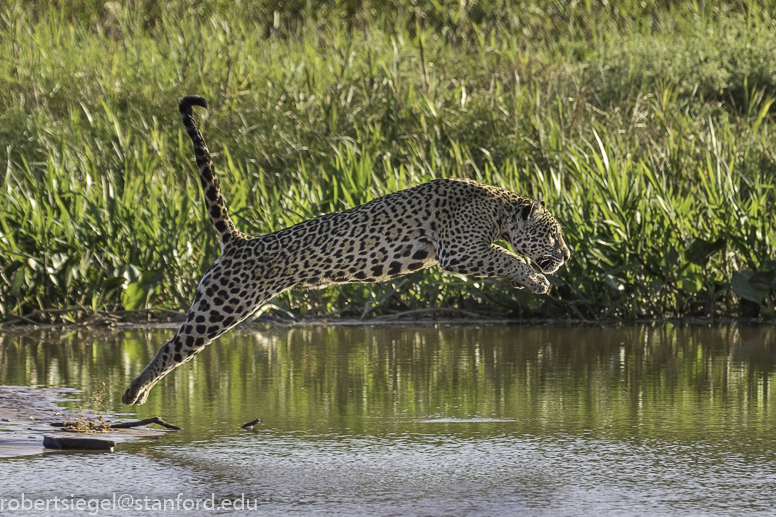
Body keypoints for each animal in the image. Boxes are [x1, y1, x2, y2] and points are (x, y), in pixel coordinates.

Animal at [122, 95, 570, 405]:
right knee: (172, 346)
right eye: (552, 235)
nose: (566, 256)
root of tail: (240, 241)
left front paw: (528, 282)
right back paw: (133, 393)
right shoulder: (458, 248)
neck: (500, 206)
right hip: (219, 306)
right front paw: (537, 280)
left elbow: (503, 258)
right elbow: (504, 255)